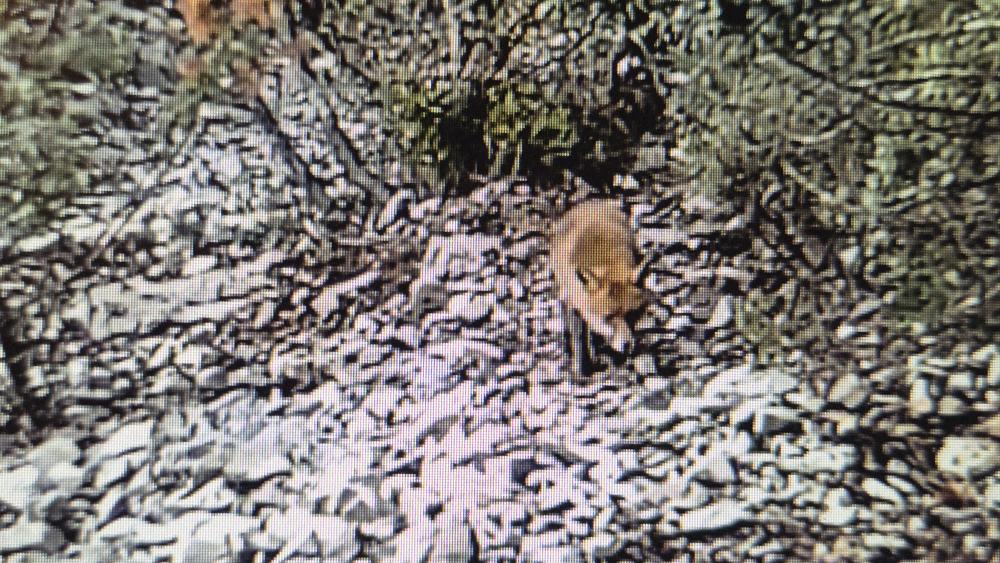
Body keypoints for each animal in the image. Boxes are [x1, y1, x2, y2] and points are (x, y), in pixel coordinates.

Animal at [549, 199, 649, 376]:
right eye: (608, 317)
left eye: (632, 315)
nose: (628, 346)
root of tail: (591, 201)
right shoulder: (573, 303)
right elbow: (579, 338)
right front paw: (581, 370)